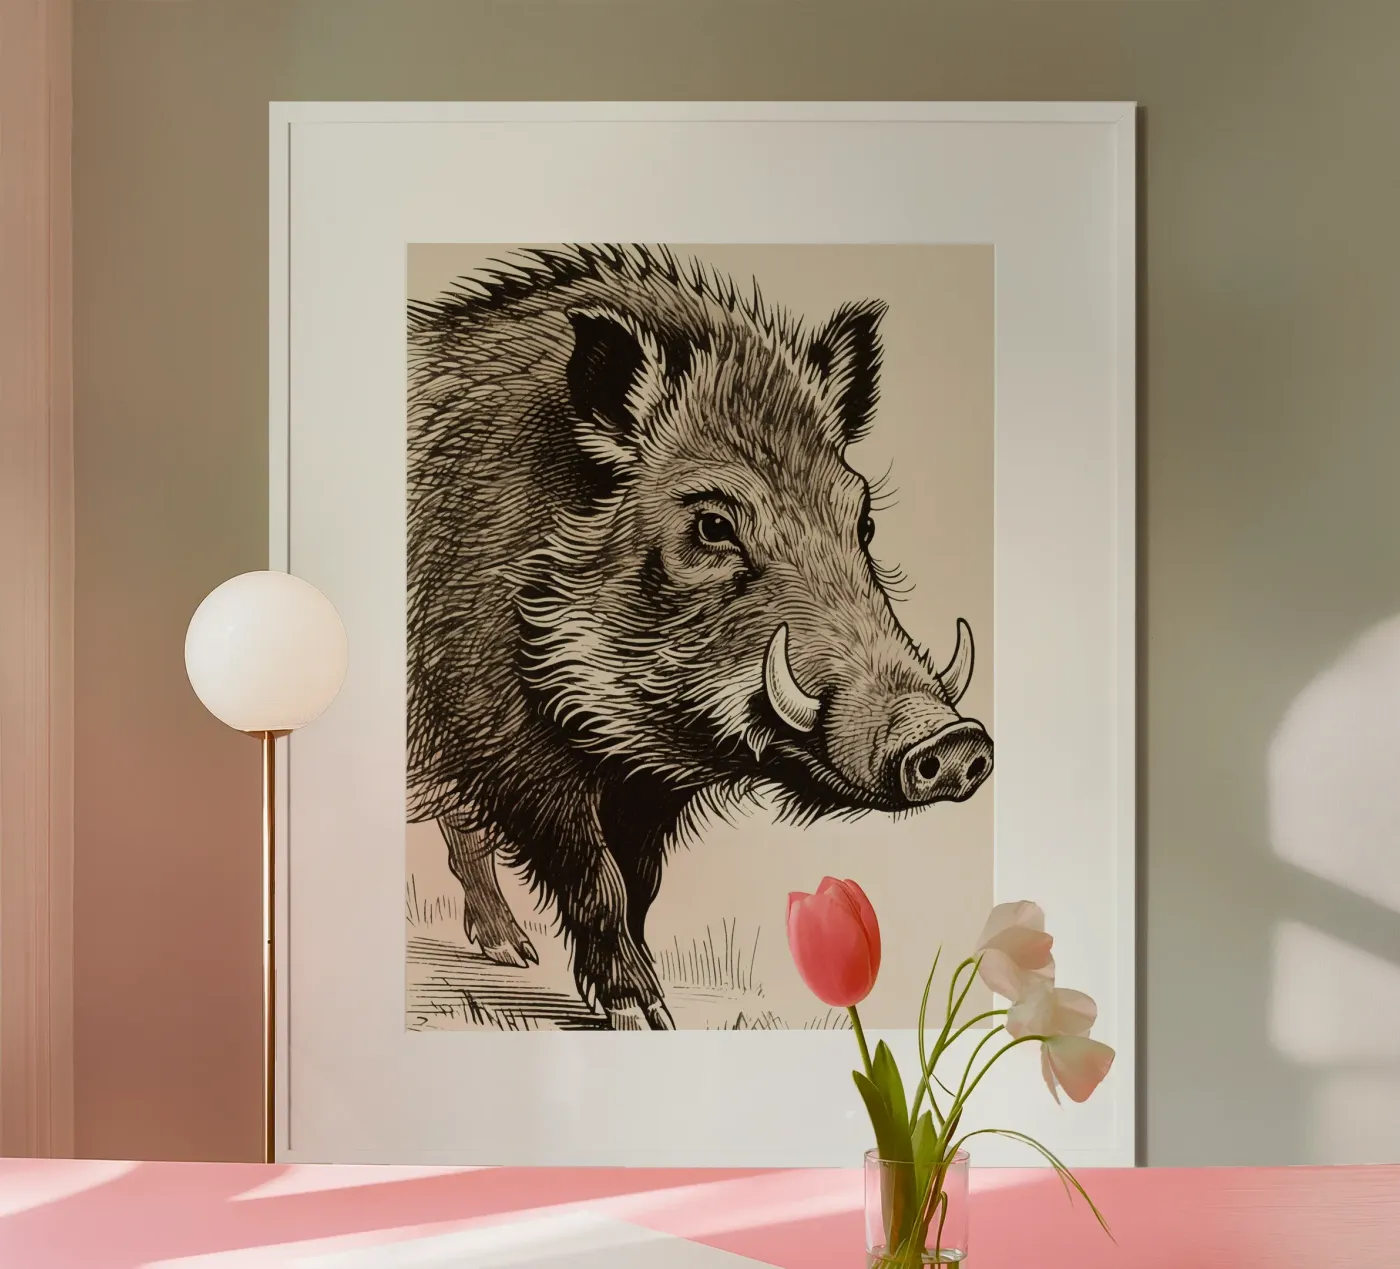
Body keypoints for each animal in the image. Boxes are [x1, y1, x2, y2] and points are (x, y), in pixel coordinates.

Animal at [407, 245, 992, 1031]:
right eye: (713, 524)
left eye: (862, 521)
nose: (954, 742)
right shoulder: (504, 741)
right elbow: (594, 878)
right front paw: (641, 1014)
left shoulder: (641, 786)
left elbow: (639, 885)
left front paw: (654, 1009)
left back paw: (512, 953)